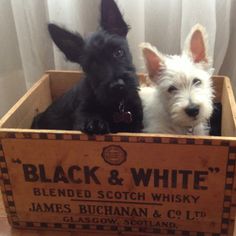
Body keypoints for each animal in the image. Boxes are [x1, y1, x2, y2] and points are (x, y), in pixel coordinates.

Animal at [31, 0, 142, 134]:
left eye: (118, 52)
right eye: (91, 64)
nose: (117, 86)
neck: (118, 105)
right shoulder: (82, 112)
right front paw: (95, 123)